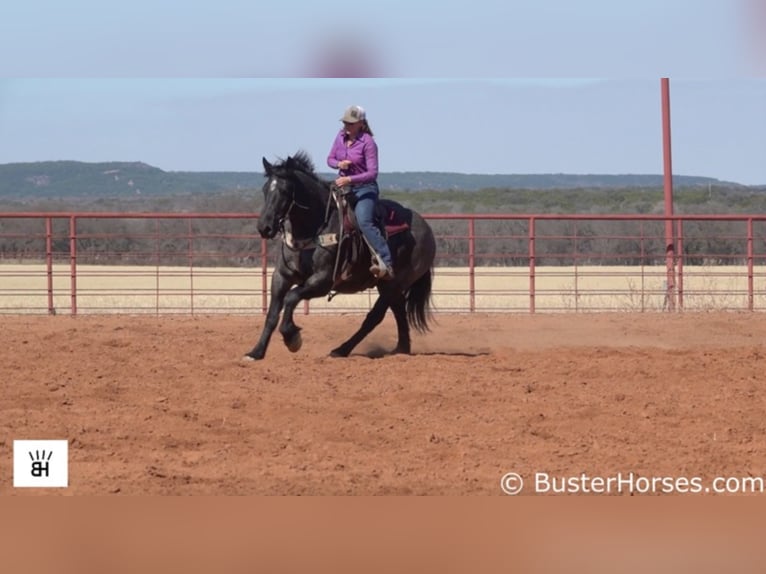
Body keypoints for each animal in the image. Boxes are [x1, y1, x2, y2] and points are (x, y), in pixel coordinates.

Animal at [248, 151, 438, 362]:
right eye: (265, 189)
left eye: (285, 190)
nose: (264, 227)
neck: (312, 230)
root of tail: (426, 228)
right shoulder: (281, 277)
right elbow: (272, 315)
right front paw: (256, 352)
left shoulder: (323, 281)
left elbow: (291, 297)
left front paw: (292, 338)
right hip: (389, 285)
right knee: (398, 311)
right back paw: (401, 349)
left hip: (395, 284)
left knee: (374, 318)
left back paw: (342, 349)